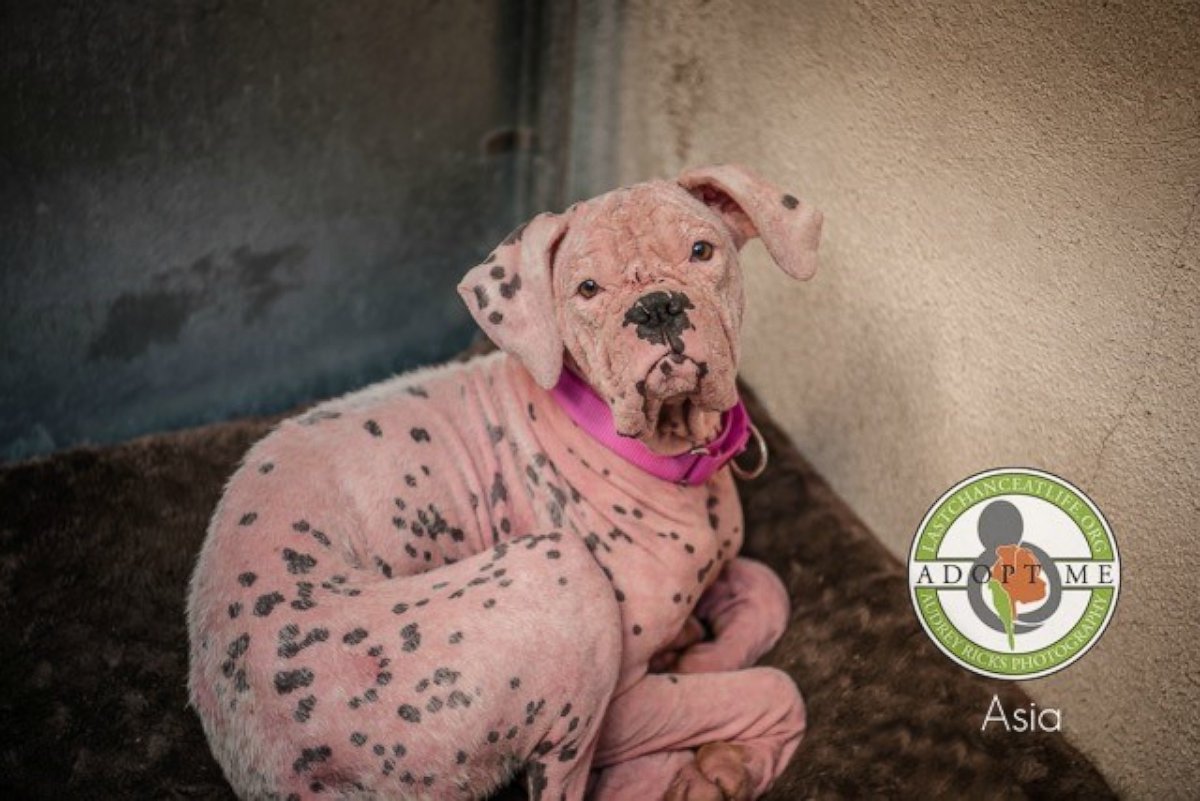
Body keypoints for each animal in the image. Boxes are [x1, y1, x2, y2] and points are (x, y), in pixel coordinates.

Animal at [187, 164, 825, 801]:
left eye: (701, 251)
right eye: (587, 289)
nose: (656, 308)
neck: (670, 452)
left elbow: (767, 584)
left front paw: (707, 651)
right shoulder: (626, 701)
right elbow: (774, 688)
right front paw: (726, 734)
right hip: (563, 577)